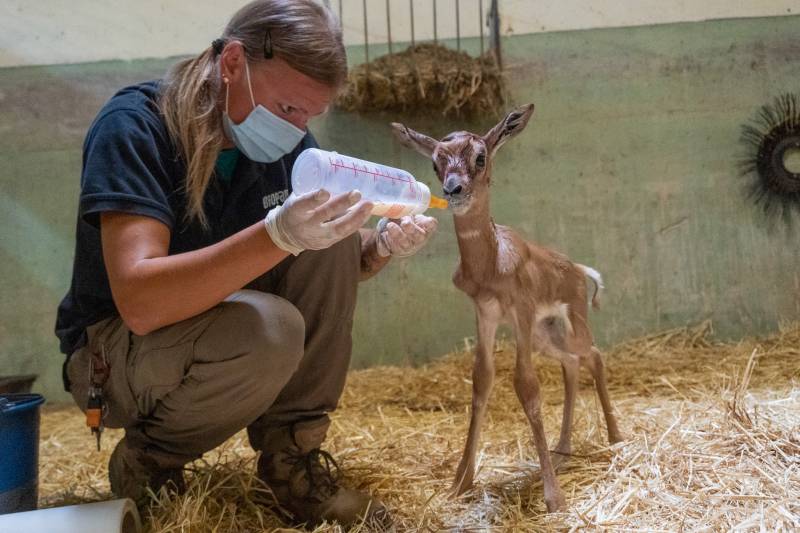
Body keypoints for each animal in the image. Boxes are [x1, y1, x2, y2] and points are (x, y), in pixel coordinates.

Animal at [394, 105, 624, 512]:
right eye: (436, 163)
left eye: (480, 157)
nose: (453, 190)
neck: (490, 263)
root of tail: (579, 270)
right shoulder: (486, 314)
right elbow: (482, 380)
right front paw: (460, 483)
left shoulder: (520, 312)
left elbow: (526, 386)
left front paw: (553, 498)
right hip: (545, 335)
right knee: (571, 363)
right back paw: (562, 449)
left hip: (569, 326)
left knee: (594, 355)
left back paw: (615, 438)